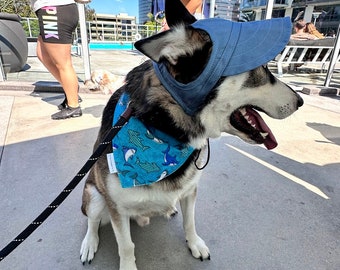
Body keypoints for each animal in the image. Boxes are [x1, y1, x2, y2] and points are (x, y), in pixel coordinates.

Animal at [79, 1, 302, 268]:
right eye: (263, 68)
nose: (300, 101)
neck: (165, 128)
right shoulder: (116, 208)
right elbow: (126, 246)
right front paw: (127, 264)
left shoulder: (190, 191)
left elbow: (190, 222)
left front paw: (195, 244)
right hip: (93, 195)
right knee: (91, 221)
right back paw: (89, 244)